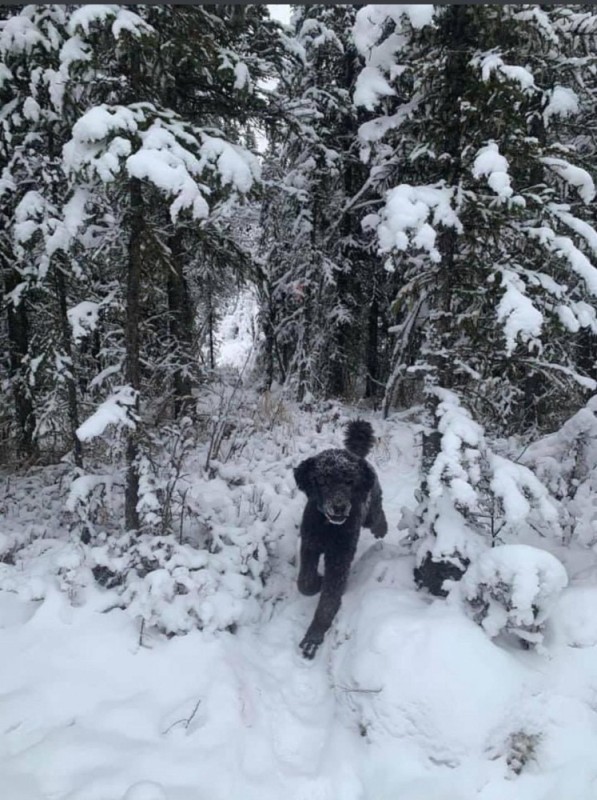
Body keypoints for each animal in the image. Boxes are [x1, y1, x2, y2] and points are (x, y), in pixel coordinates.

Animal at [292, 418, 386, 656]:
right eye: (323, 481)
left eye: (349, 481)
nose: (339, 507)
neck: (328, 528)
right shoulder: (310, 544)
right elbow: (304, 582)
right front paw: (317, 581)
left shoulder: (339, 558)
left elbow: (328, 601)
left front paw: (314, 637)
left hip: (371, 507)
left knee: (377, 515)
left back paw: (382, 528)